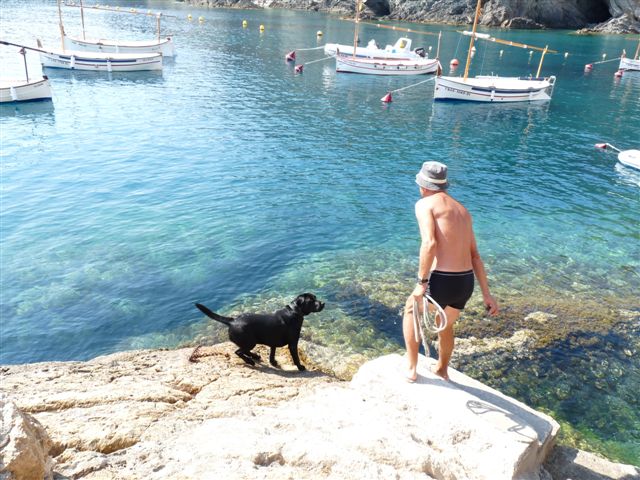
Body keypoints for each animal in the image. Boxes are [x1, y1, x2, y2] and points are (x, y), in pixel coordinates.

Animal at [194, 293, 324, 371]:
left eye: (315, 297)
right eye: (311, 301)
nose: (323, 303)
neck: (294, 311)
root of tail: (232, 320)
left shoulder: (273, 341)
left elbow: (272, 354)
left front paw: (273, 362)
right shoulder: (292, 344)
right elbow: (296, 358)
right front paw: (300, 367)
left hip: (250, 342)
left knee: (242, 350)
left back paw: (254, 356)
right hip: (249, 341)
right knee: (238, 351)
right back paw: (250, 361)